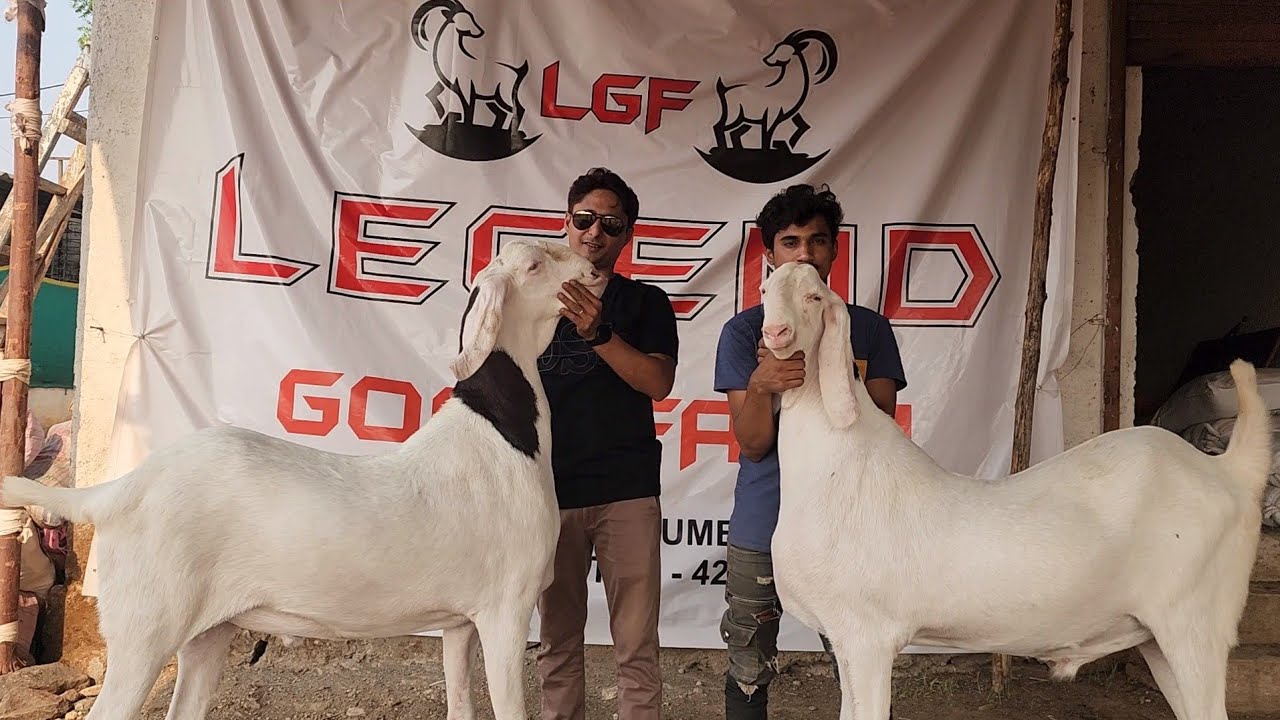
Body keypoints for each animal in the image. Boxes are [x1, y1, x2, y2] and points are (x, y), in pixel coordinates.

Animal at [1, 239, 605, 720]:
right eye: (534, 264)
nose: (596, 266)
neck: (502, 433)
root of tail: (118, 492)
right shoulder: (508, 610)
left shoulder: (459, 625)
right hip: (145, 632)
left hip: (206, 634)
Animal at [758, 261, 1272, 720]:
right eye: (765, 289)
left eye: (814, 296)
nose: (776, 333)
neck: (835, 461)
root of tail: (1232, 471)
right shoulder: (844, 639)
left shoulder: (868, 636)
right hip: (1155, 637)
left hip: (1195, 623)